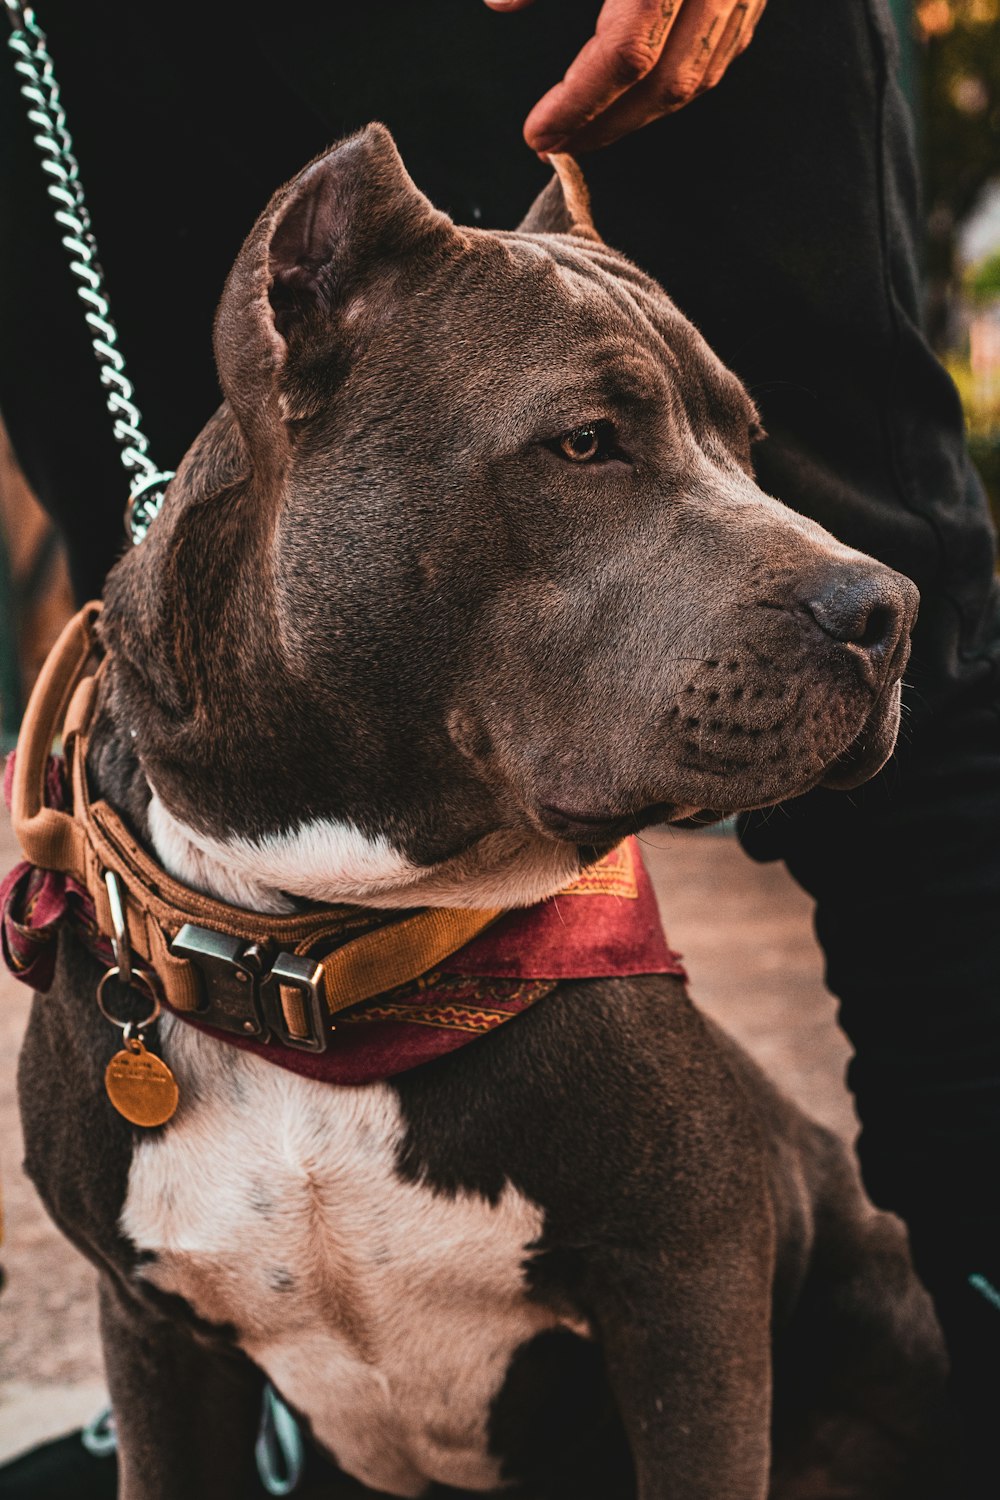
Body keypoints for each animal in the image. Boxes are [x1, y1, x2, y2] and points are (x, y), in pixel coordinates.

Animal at [17, 129, 953, 1500]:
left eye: (746, 439)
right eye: (585, 442)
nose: (887, 610)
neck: (318, 953)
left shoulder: (690, 1285)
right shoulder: (155, 1337)